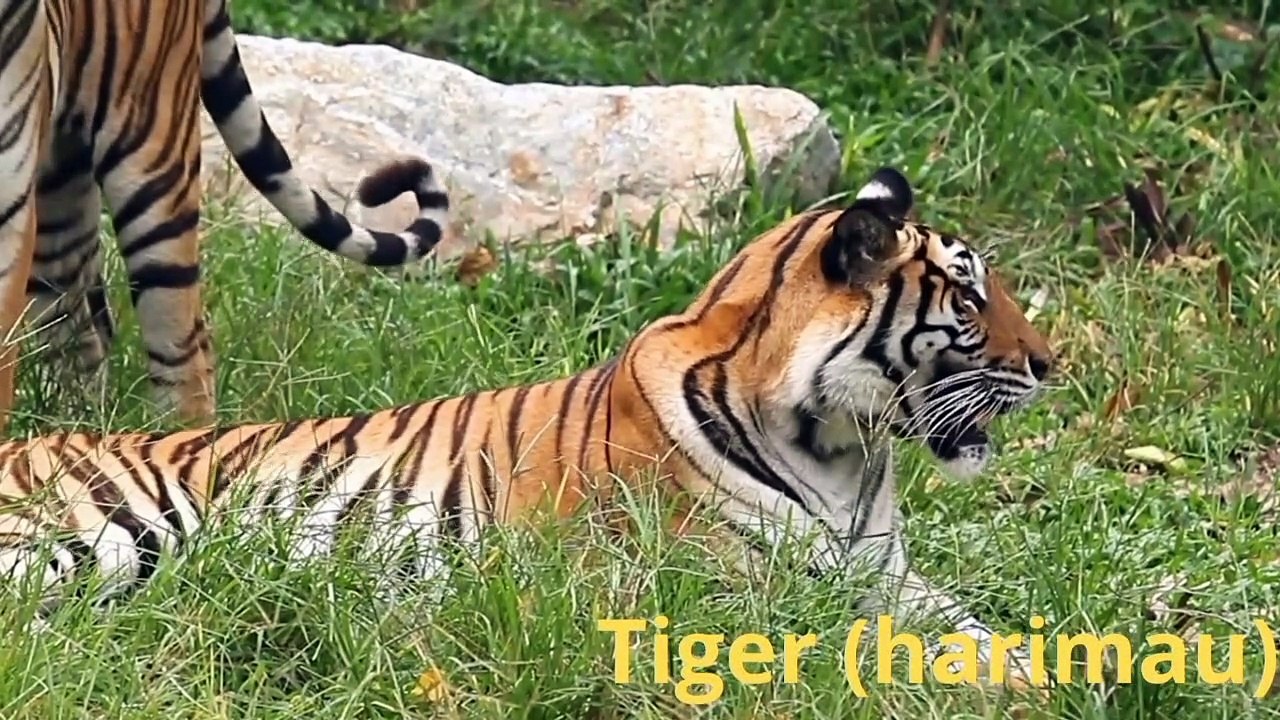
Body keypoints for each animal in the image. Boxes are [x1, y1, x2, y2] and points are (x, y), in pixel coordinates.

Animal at [0, 166, 1055, 698]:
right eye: (969, 299)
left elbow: (985, 633)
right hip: (93, 535)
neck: (841, 446)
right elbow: (876, 650)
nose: (1051, 364)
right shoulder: (727, 596)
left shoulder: (887, 574)